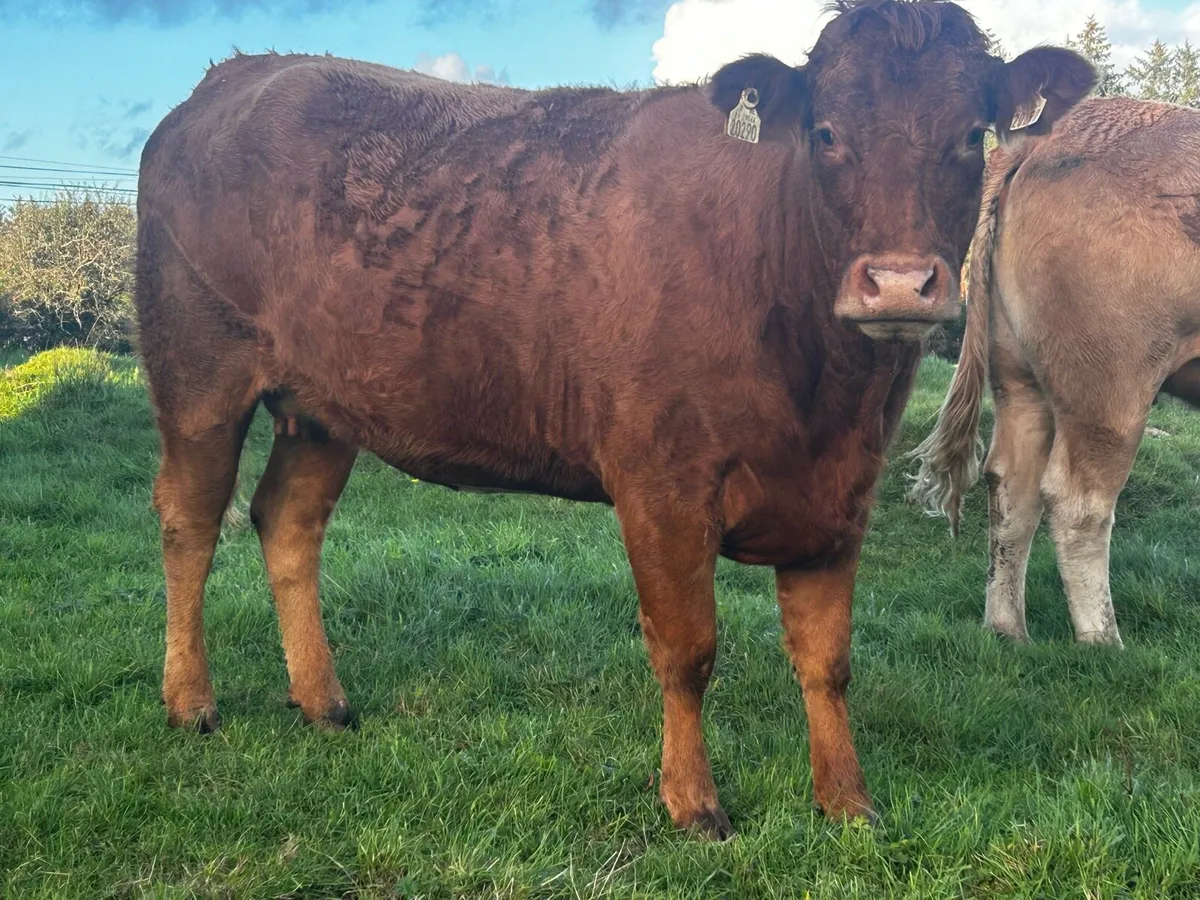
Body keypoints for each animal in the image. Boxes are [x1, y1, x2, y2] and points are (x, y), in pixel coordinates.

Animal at [135, 0, 1092, 838]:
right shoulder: (662, 484)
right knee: (189, 521)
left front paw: (847, 803)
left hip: (324, 406)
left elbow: (828, 662)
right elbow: (688, 650)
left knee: (287, 523)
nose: (897, 284)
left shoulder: (840, 496)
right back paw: (190, 701)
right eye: (826, 133)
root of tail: (233, 77)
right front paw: (694, 804)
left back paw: (323, 701)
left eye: (971, 134)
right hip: (199, 373)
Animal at [910, 96, 1200, 649]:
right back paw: (1104, 642)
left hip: (1019, 373)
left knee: (1010, 485)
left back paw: (1008, 630)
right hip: (1111, 380)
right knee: (1078, 501)